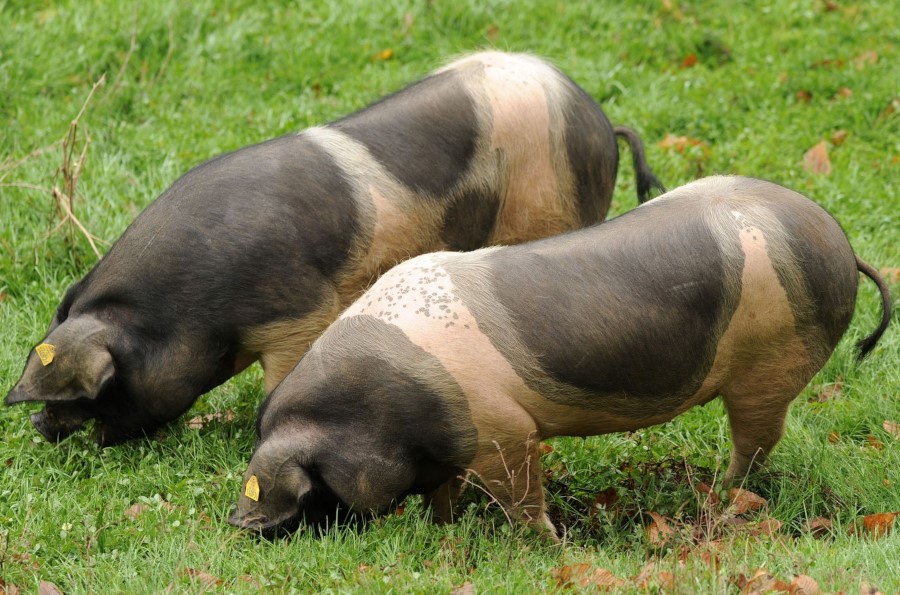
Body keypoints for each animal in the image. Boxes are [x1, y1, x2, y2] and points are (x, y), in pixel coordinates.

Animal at [3, 51, 664, 444]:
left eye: (104, 387)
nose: (38, 422)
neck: (192, 309)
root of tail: (601, 122)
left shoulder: (299, 313)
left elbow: (281, 382)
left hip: (552, 206)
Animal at [229, 176, 888, 540]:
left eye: (307, 481)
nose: (240, 524)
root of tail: (839, 241)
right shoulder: (453, 442)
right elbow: (443, 494)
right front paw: (442, 529)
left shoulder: (502, 430)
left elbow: (522, 495)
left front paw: (550, 545)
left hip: (770, 367)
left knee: (756, 442)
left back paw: (721, 502)